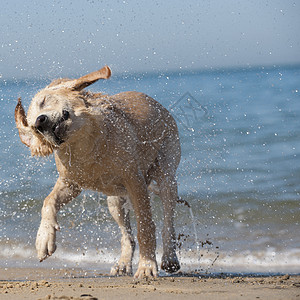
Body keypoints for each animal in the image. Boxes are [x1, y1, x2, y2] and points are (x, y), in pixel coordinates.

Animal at [14, 66, 180, 278]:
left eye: (43, 101)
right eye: (35, 130)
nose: (39, 122)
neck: (85, 144)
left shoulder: (135, 181)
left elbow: (145, 226)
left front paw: (147, 266)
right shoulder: (71, 183)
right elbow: (48, 202)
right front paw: (44, 237)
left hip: (167, 176)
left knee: (168, 222)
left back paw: (170, 258)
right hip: (115, 201)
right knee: (127, 236)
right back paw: (123, 263)